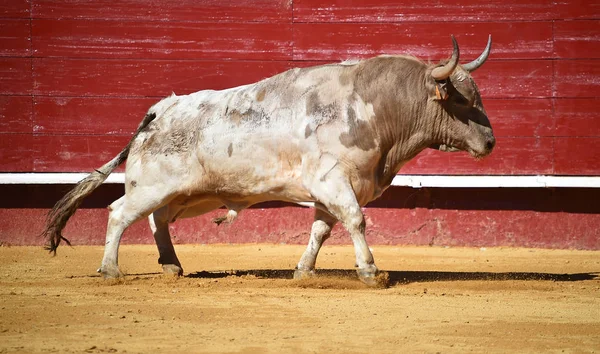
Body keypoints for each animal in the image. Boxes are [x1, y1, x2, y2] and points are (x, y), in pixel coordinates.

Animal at [41, 35, 492, 284]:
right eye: (461, 100)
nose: (490, 141)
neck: (377, 107)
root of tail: (160, 109)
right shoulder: (334, 182)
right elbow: (356, 221)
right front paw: (369, 271)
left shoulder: (330, 190)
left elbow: (321, 230)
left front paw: (304, 271)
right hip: (152, 185)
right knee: (120, 213)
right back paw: (111, 270)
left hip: (185, 193)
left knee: (158, 220)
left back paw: (171, 265)